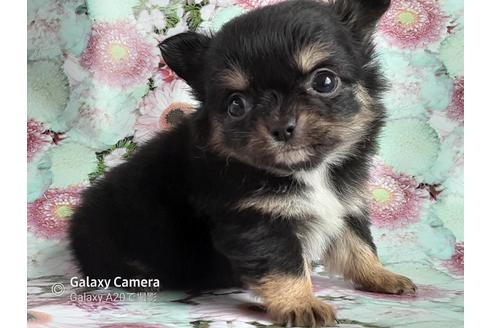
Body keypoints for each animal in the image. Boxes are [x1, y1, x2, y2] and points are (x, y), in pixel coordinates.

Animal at [68, 0, 416, 326]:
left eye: (325, 82)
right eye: (236, 105)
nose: (281, 127)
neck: (310, 172)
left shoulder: (342, 205)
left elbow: (358, 246)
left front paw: (381, 275)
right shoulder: (256, 219)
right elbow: (286, 266)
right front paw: (302, 303)